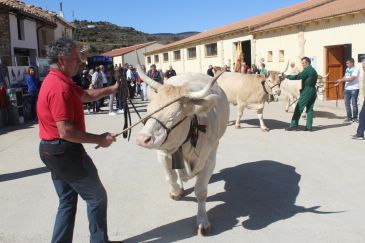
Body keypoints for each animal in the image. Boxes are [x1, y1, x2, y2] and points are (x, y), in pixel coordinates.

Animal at [135, 67, 229, 235]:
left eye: (173, 116)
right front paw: (176, 191)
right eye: (149, 110)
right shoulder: (163, 153)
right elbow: (170, 177)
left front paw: (202, 221)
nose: (141, 138)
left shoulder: (209, 159)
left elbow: (201, 190)